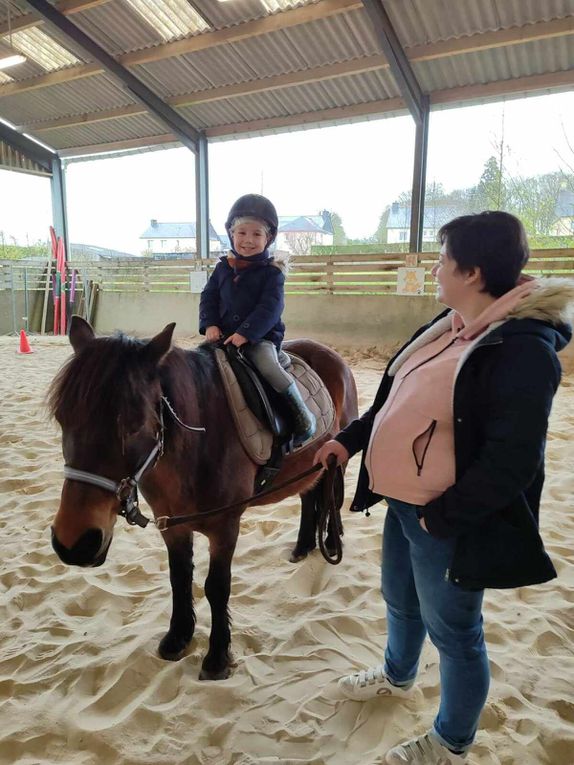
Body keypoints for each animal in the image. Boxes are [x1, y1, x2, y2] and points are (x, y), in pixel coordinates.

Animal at [49, 316, 358, 680]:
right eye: (62, 418)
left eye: (134, 425)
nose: (74, 543)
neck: (199, 445)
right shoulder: (172, 525)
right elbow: (179, 579)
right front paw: (177, 638)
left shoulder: (226, 527)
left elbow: (216, 586)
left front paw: (217, 657)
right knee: (309, 498)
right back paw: (302, 547)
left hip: (336, 458)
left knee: (331, 499)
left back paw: (331, 544)